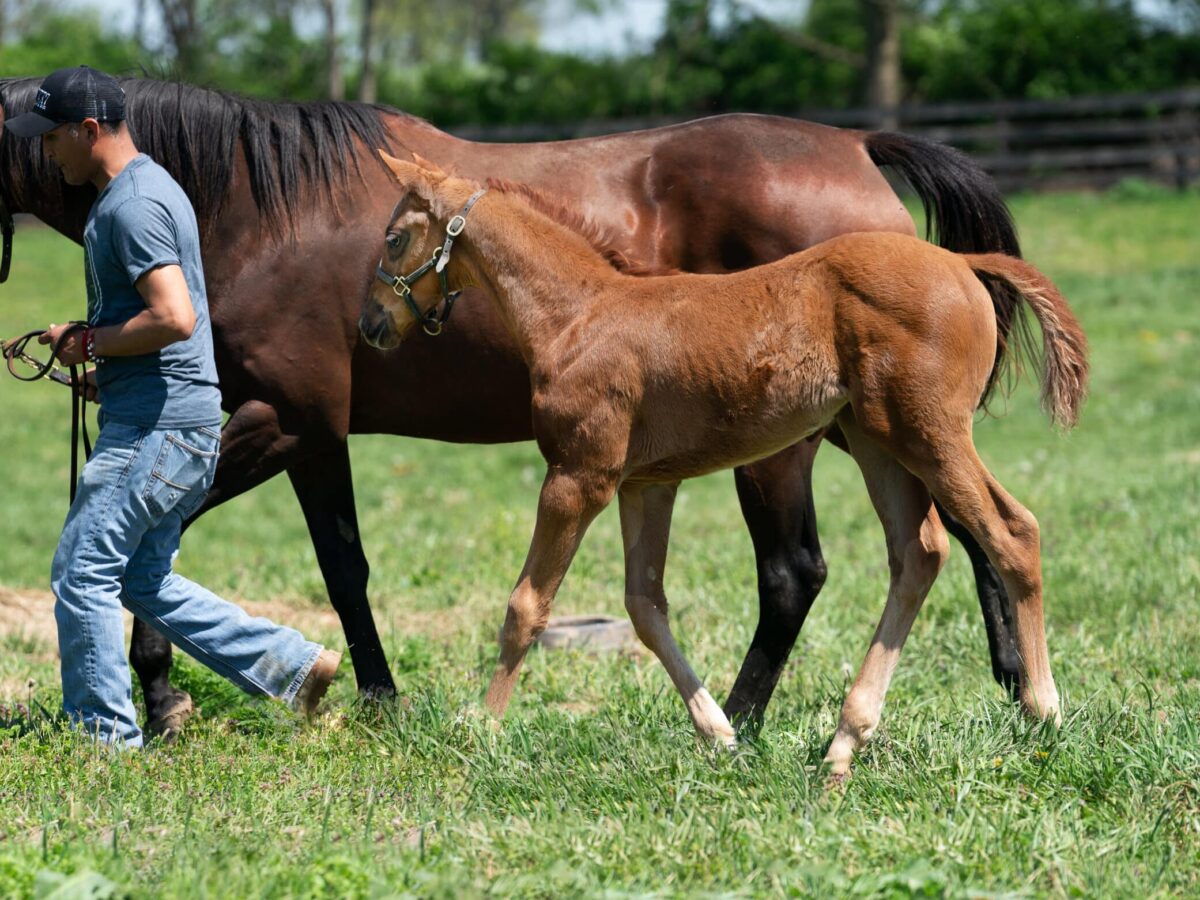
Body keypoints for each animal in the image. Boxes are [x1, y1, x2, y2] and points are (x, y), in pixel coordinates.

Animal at [362, 153, 1089, 777]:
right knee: (920, 553)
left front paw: (479, 728)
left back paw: (1043, 710)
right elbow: (645, 605)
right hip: (878, 440)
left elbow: (527, 606)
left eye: (395, 237)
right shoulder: (646, 485)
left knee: (1010, 532)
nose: (371, 324)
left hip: (927, 431)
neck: (578, 315)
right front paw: (720, 733)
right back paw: (846, 740)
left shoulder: (579, 476)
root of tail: (962, 263)